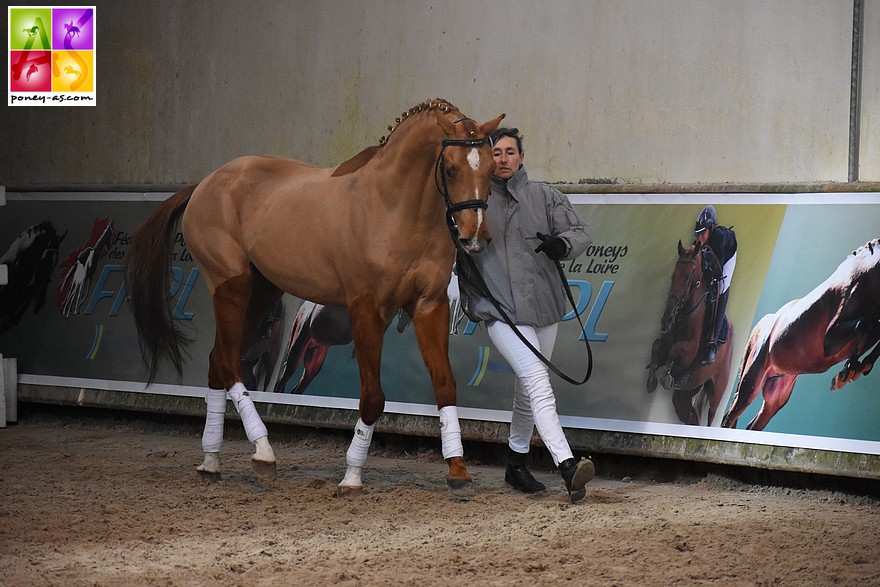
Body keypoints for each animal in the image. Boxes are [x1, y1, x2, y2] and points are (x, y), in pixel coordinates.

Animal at [126, 100, 506, 492]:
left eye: (491, 167)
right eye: (450, 169)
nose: (475, 238)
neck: (395, 208)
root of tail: (205, 183)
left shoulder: (429, 306)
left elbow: (445, 385)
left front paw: (458, 470)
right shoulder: (366, 309)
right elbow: (373, 397)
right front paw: (352, 475)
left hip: (262, 294)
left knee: (218, 361)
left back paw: (211, 462)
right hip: (230, 287)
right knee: (230, 364)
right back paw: (263, 453)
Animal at [648, 239, 736, 428]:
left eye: (688, 276)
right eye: (673, 275)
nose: (667, 319)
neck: (685, 314)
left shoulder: (688, 353)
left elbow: (676, 348)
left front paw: (666, 378)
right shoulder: (664, 344)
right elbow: (657, 345)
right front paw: (651, 381)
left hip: (716, 393)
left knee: (710, 417)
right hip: (684, 395)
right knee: (690, 417)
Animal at [720, 237, 880, 430]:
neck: (866, 276)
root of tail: (762, 326)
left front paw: (859, 367)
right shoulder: (829, 341)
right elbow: (863, 325)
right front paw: (846, 372)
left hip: (776, 395)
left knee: (753, 425)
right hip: (751, 383)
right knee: (730, 416)